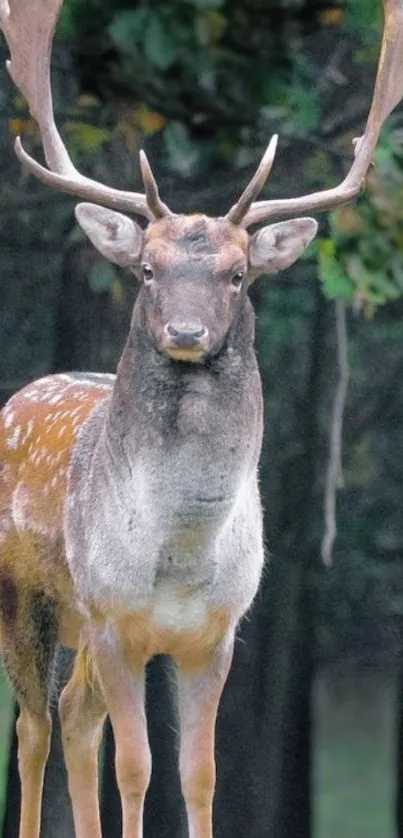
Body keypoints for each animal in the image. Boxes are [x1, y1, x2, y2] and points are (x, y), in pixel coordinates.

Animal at [0, 1, 402, 838]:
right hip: (28, 597)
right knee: (34, 726)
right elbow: (135, 766)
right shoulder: (115, 620)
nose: (185, 332)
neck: (179, 557)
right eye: (147, 270)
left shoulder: (215, 635)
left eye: (238, 273)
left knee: (73, 713)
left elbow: (199, 773)